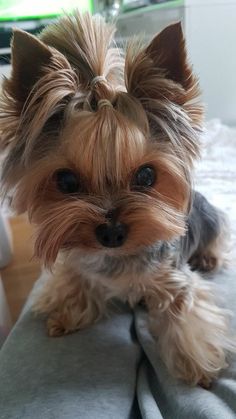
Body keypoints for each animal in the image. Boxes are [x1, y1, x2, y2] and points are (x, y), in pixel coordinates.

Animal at [0, 12, 236, 388]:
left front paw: (199, 366)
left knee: (218, 241)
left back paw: (208, 258)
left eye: (147, 176)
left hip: (213, 220)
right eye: (66, 181)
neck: (116, 258)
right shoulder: (81, 267)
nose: (111, 233)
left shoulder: (174, 281)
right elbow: (77, 283)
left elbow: (185, 314)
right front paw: (66, 313)